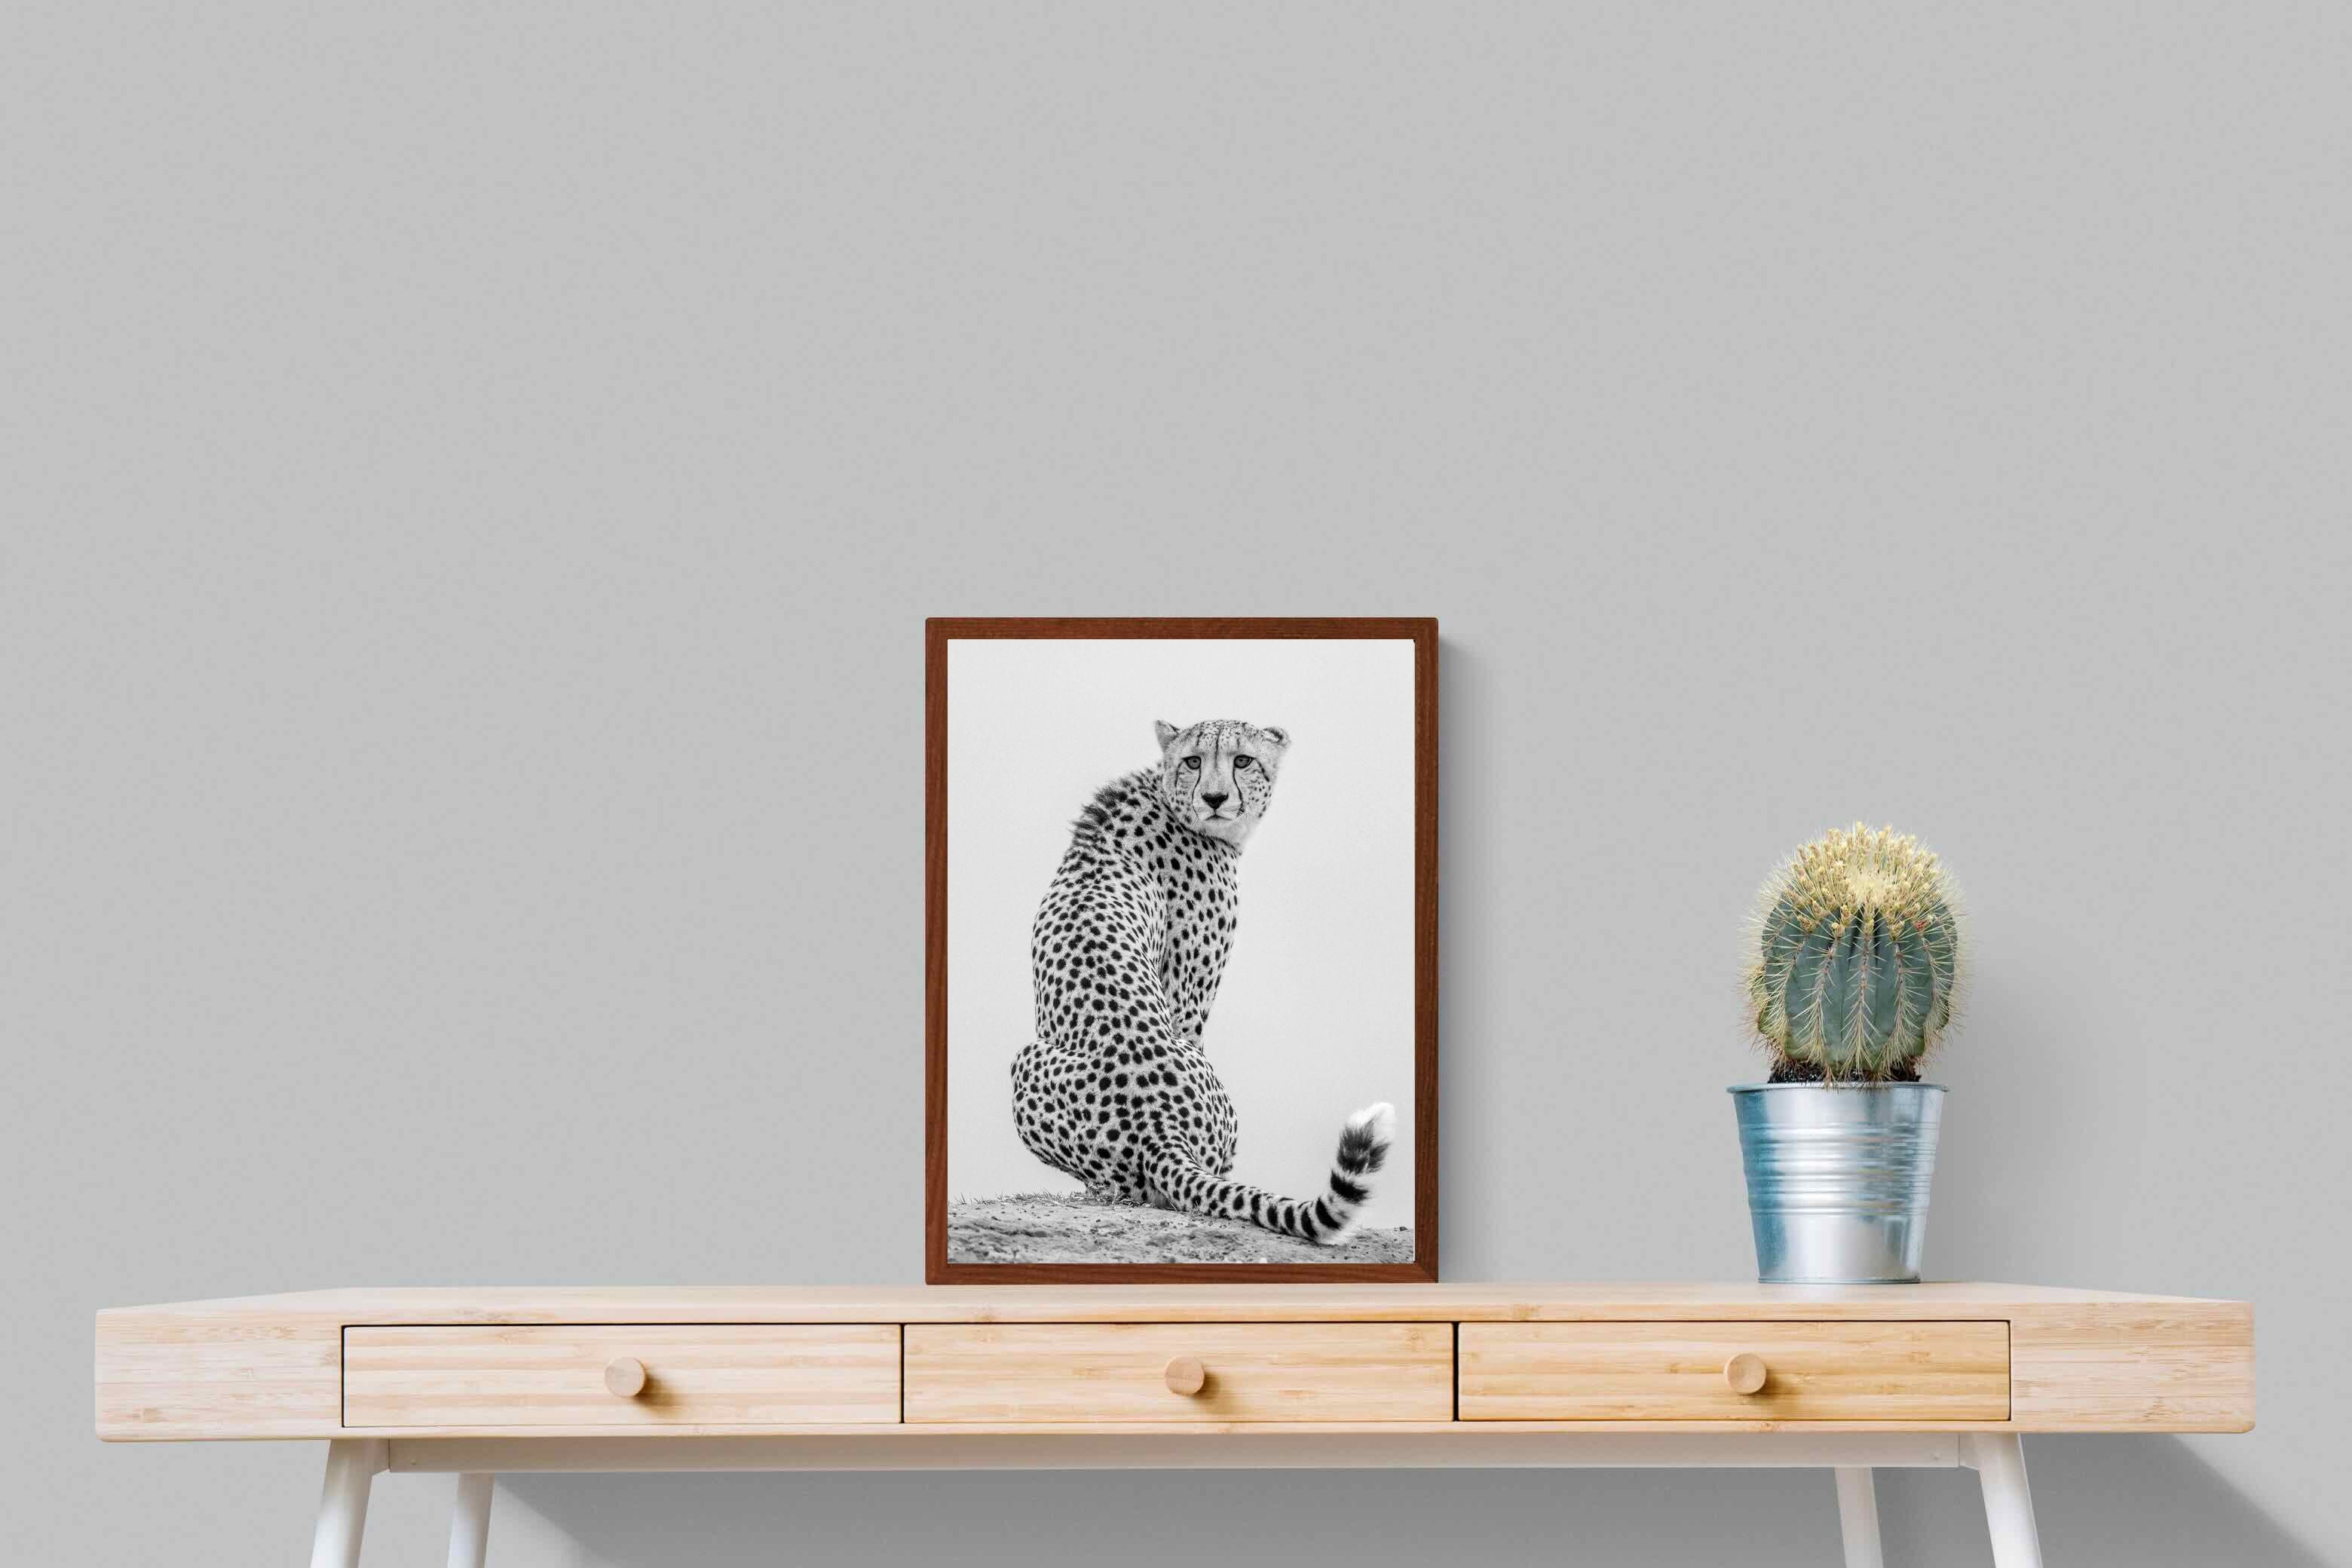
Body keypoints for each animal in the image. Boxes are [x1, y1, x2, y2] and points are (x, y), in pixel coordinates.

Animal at [1009, 717, 1396, 1245]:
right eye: (1194, 760)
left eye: (1242, 760)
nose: (1215, 797)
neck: (1168, 797)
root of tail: (1158, 1126)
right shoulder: (1187, 996)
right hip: (1029, 1060)